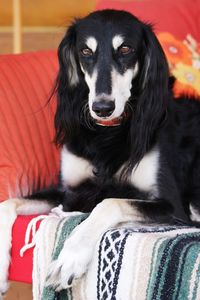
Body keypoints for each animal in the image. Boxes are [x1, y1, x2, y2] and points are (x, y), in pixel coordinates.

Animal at [0, 9, 200, 296]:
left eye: (125, 49)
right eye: (85, 51)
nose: (102, 107)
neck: (107, 134)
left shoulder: (172, 204)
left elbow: (110, 203)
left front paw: (70, 258)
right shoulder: (68, 191)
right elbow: (8, 203)